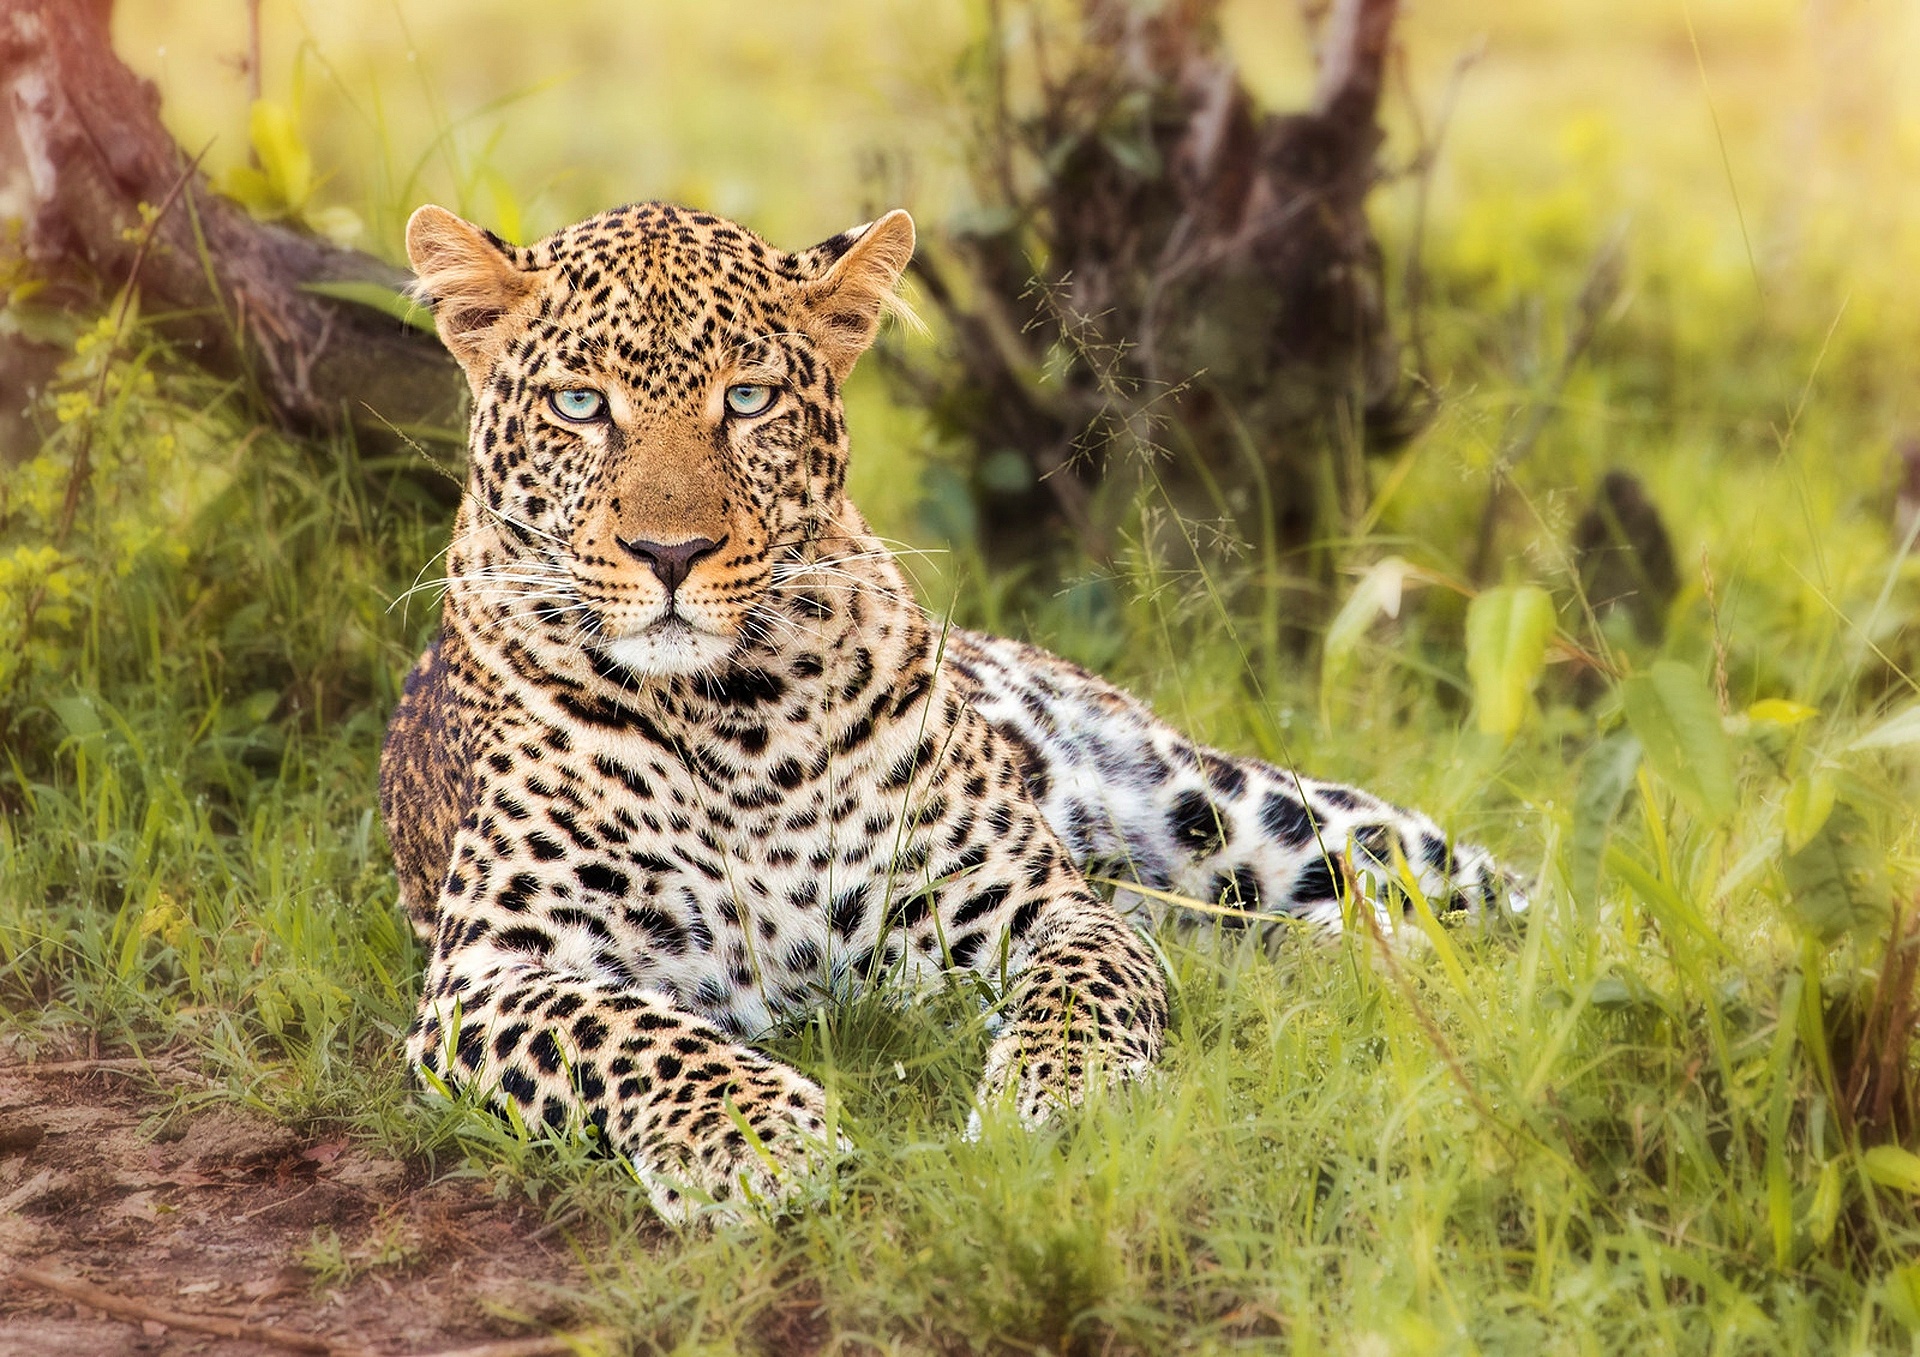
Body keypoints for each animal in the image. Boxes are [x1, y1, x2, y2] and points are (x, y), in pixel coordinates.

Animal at [382, 196, 1520, 1228]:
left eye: (747, 399)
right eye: (580, 404)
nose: (672, 553)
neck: (730, 719)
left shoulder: (1031, 897)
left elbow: (1085, 986)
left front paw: (1061, 1103)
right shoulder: (489, 968)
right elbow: (632, 1036)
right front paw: (753, 1141)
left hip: (1250, 815)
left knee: (1484, 888)